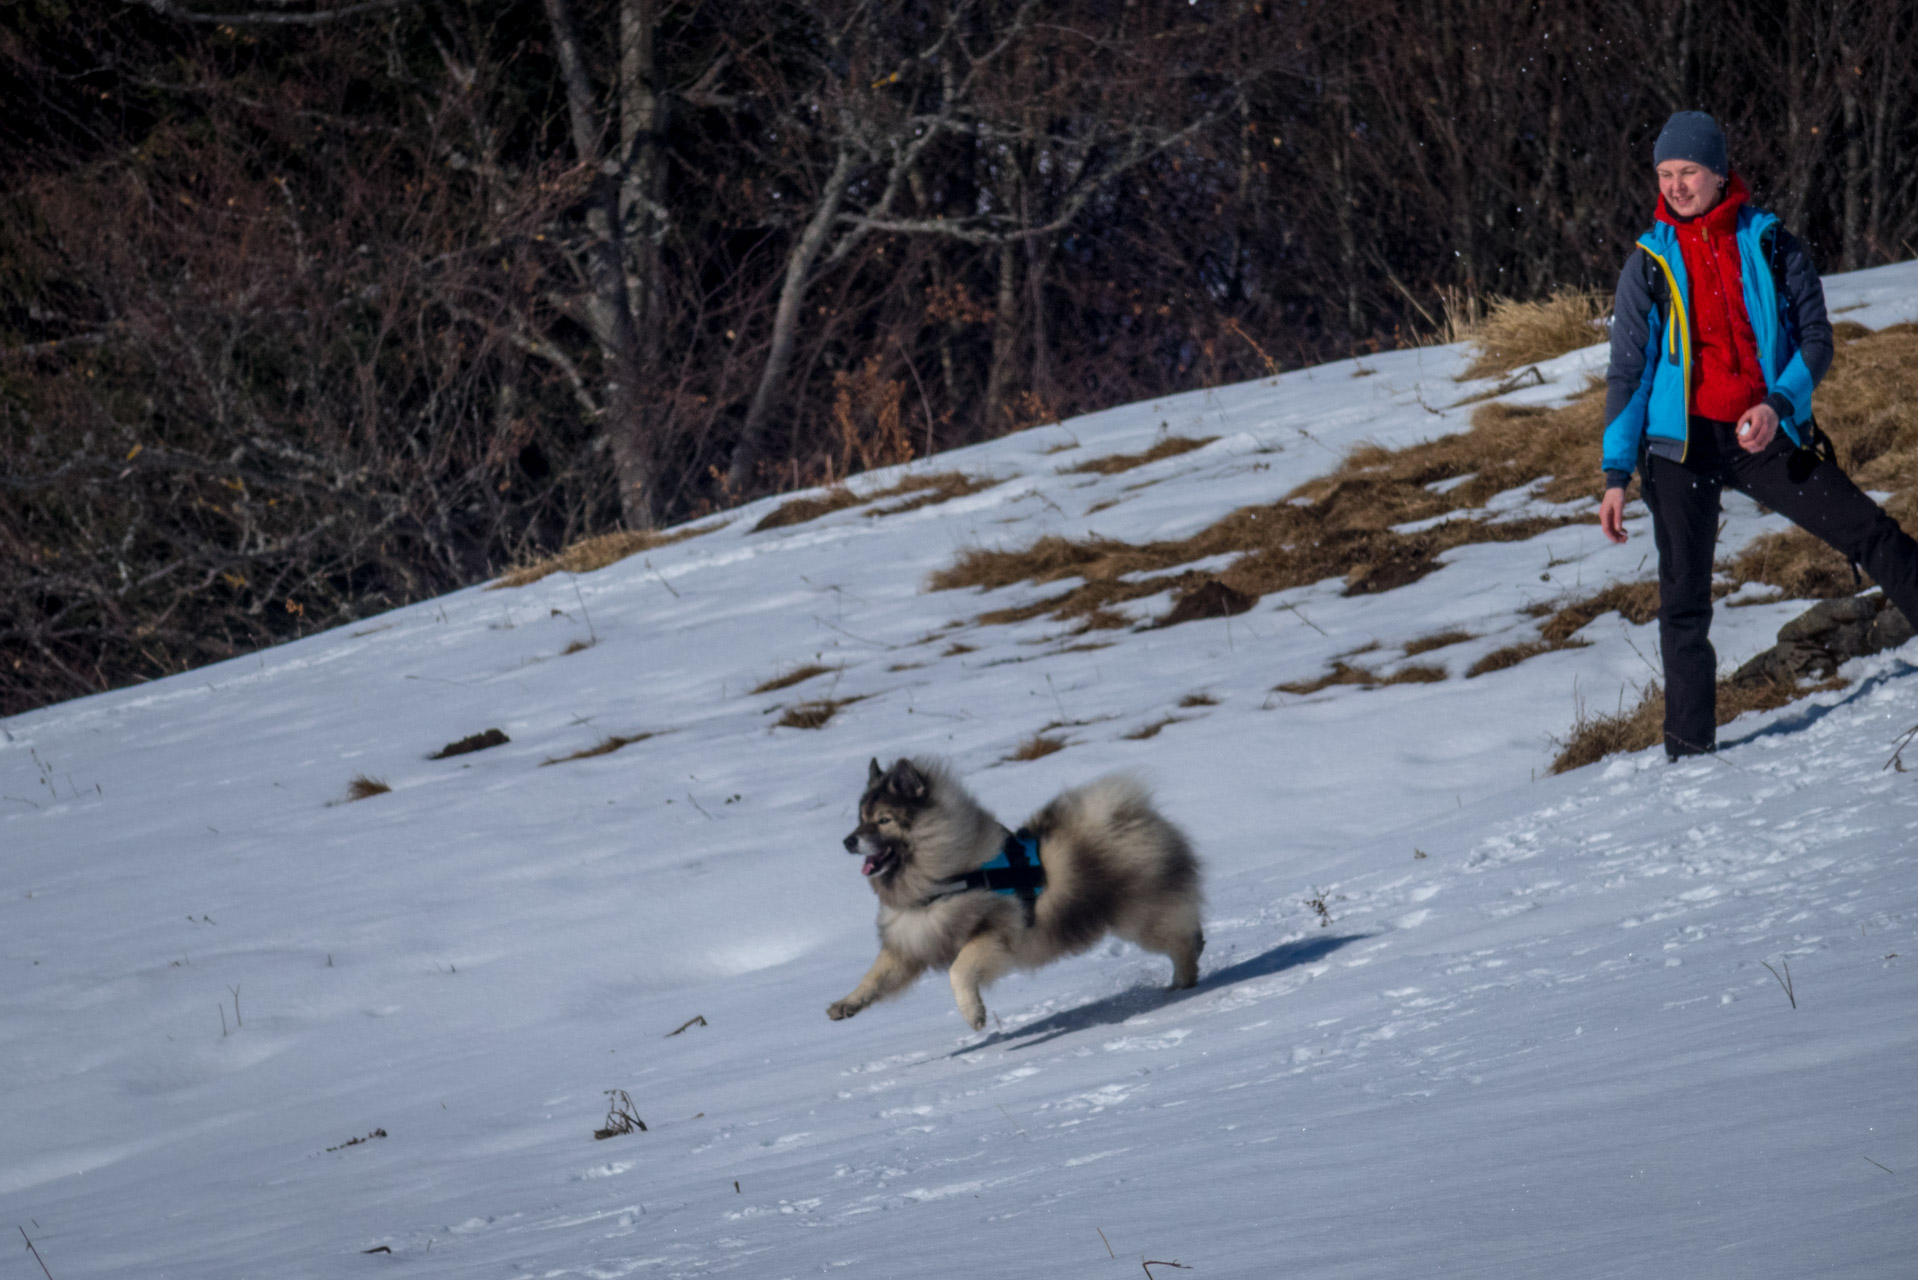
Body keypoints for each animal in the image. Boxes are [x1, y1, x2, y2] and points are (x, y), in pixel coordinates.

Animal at [824, 759, 1196, 1028]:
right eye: (860, 819)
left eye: (883, 820)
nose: (847, 841)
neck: (943, 876)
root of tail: (1128, 815)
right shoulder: (910, 943)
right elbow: (874, 978)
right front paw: (846, 1004)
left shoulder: (993, 934)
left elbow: (958, 971)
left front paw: (973, 1014)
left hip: (1141, 917)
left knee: (1181, 940)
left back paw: (1184, 981)